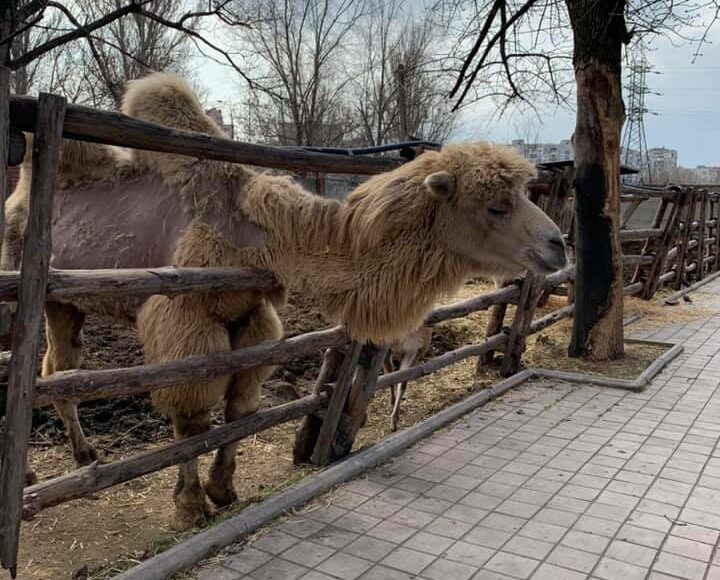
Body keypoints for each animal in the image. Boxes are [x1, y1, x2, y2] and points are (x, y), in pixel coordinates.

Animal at [1, 73, 568, 532]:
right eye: (495, 206)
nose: (557, 245)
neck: (256, 229)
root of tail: (20, 193)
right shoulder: (185, 315)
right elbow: (191, 418)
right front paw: (189, 505)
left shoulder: (252, 314)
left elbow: (242, 408)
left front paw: (224, 489)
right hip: (16, 276)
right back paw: (30, 471)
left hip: (66, 301)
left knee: (57, 369)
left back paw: (82, 455)